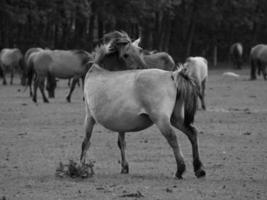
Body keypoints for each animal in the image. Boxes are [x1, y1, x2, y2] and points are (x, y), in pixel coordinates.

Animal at [80, 31, 206, 180]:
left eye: (140, 51)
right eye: (126, 54)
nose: (143, 67)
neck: (99, 71)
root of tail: (172, 75)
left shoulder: (89, 117)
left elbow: (86, 142)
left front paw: (81, 167)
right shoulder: (120, 123)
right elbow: (121, 142)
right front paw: (124, 167)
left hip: (161, 120)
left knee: (172, 138)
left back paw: (180, 170)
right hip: (175, 119)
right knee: (192, 133)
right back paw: (199, 169)